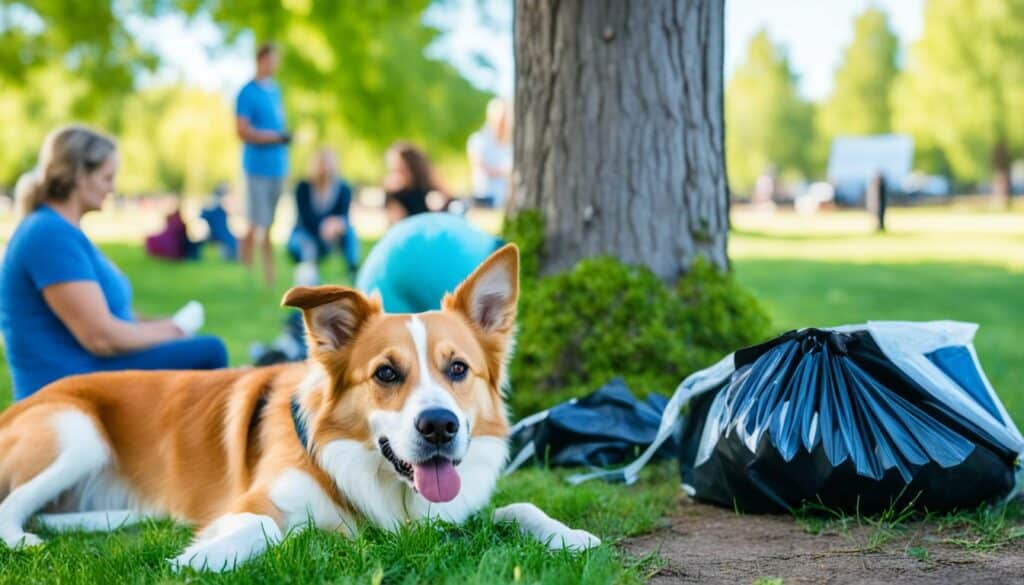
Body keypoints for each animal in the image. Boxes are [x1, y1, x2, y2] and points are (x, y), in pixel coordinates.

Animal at [0, 246, 598, 573]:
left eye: (457, 369)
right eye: (386, 373)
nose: (439, 427)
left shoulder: (455, 514)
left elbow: (517, 508)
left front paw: (571, 536)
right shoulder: (256, 502)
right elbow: (264, 529)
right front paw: (198, 559)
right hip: (75, 430)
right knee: (12, 509)